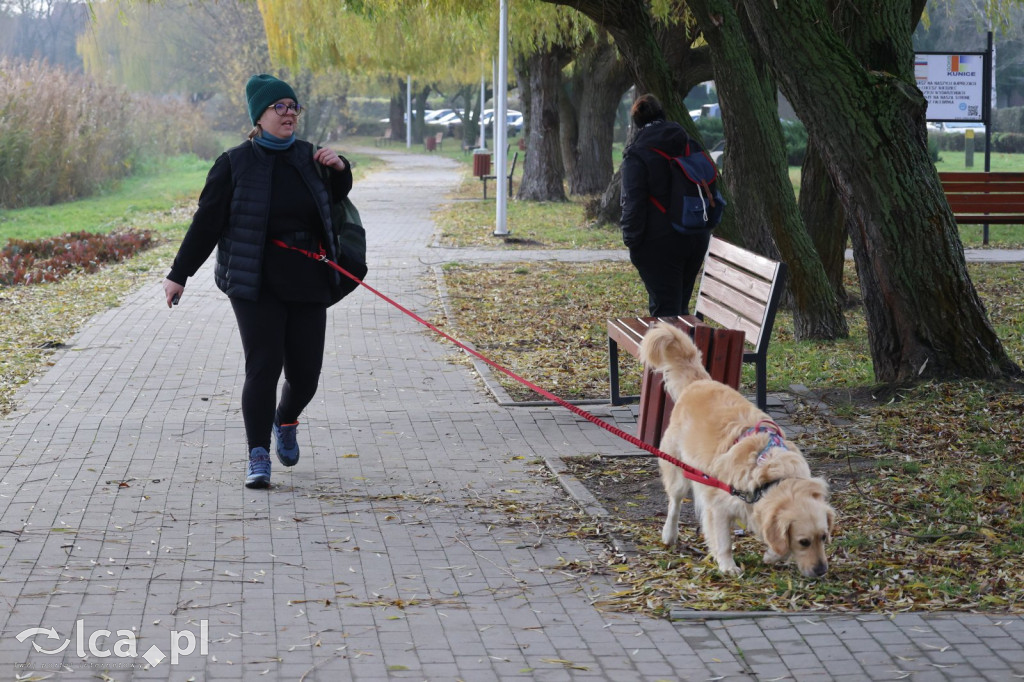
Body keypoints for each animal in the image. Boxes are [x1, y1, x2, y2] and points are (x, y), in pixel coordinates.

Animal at [634, 321, 835, 577]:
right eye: (804, 542)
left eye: (823, 537)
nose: (821, 571)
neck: (770, 476)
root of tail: (699, 382)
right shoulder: (718, 504)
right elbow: (723, 540)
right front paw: (728, 566)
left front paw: (772, 555)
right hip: (679, 469)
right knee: (674, 503)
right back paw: (669, 534)